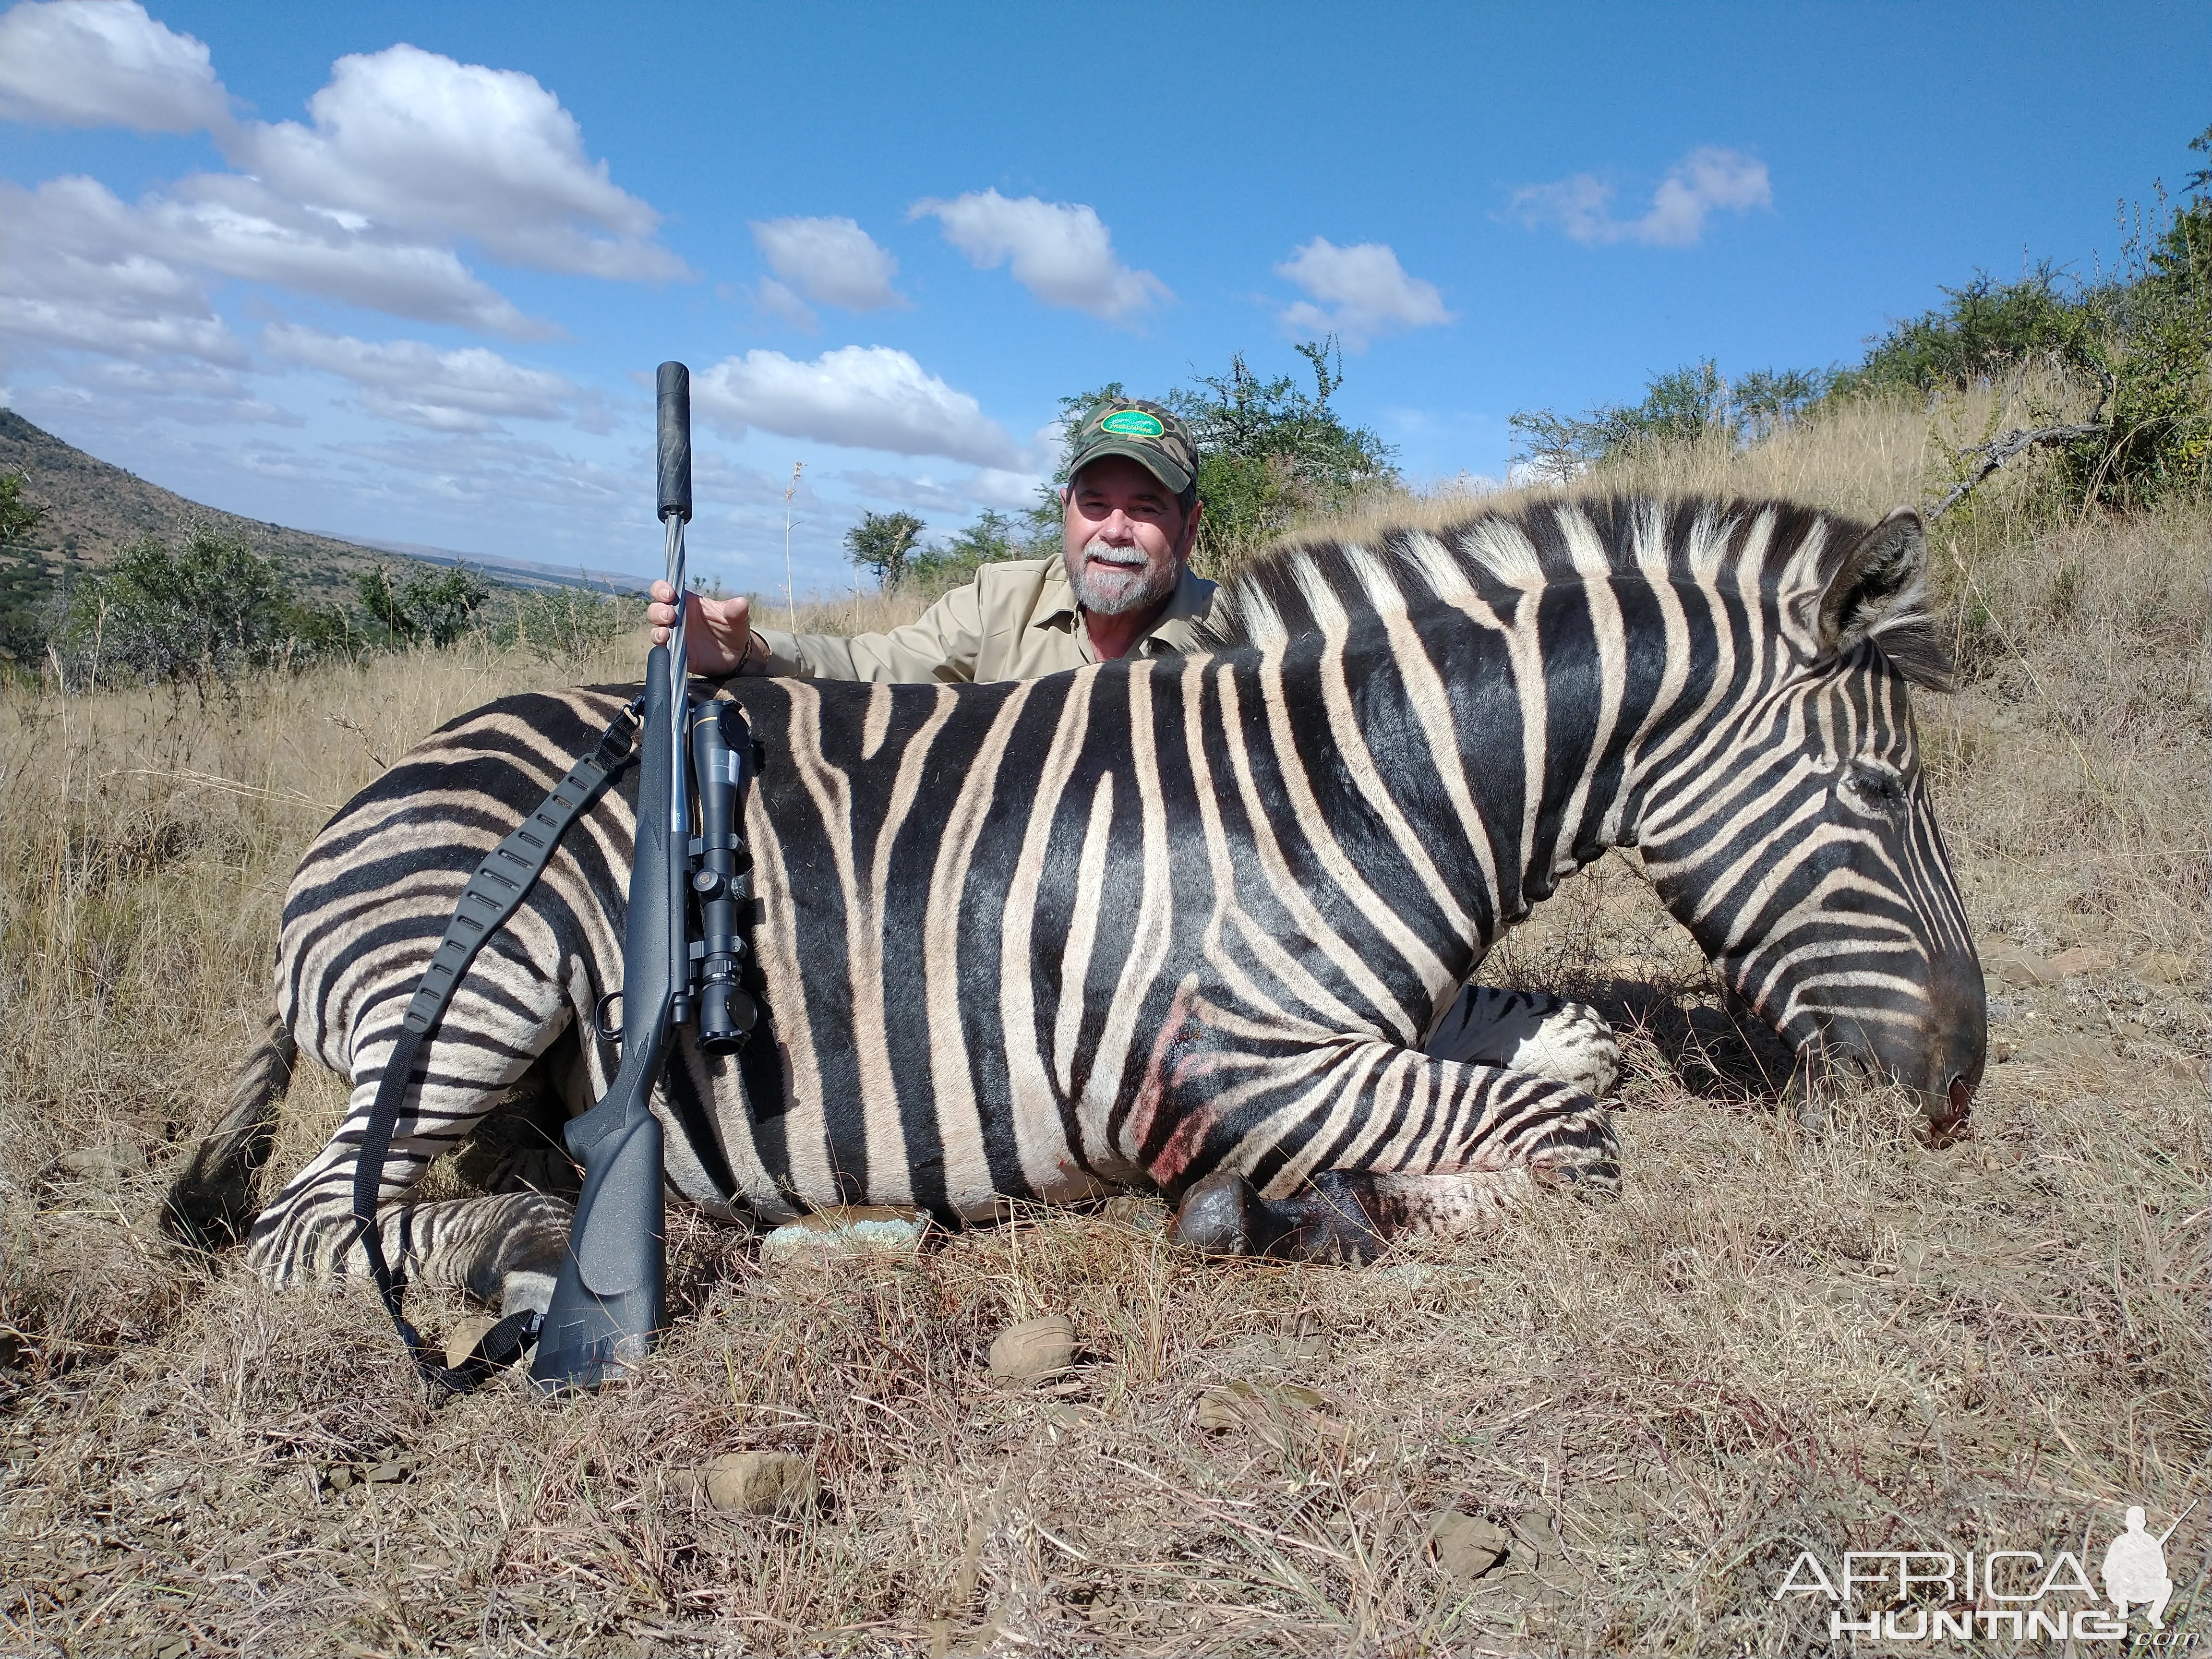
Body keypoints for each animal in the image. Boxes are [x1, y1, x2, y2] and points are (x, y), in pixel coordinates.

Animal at [163, 493, 1982, 1309]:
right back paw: (532, 1251)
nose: (1959, 1094)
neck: (1352, 788)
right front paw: (1335, 1205)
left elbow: (1564, 1043)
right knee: (309, 1220)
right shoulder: (1217, 1058)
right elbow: (1564, 1145)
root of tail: (367, 798)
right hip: (485, 981)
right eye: (1884, 797)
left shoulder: (1361, 1018)